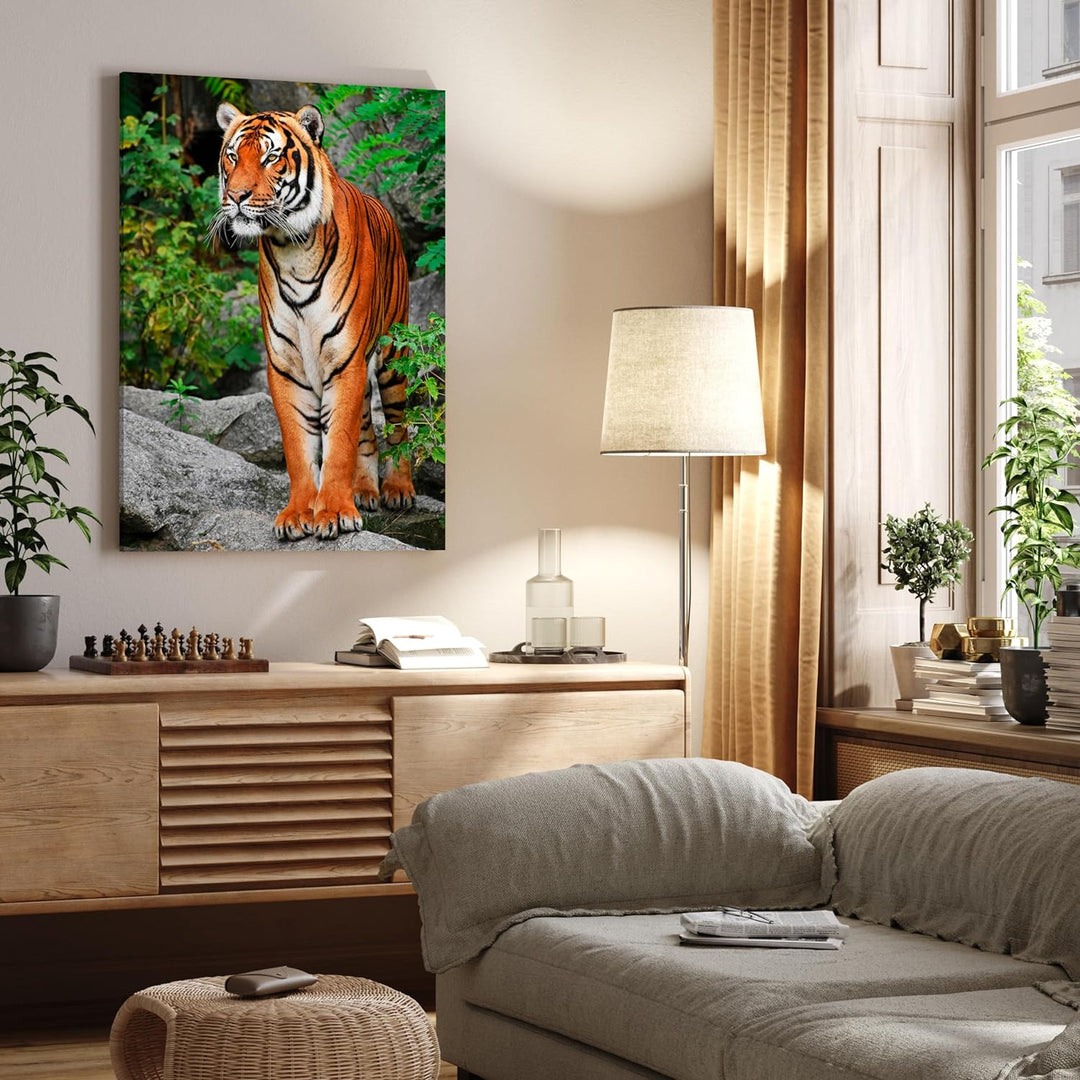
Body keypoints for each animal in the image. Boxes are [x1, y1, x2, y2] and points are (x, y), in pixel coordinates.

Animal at [213, 102, 414, 541]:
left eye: (270, 157)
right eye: (233, 156)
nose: (236, 197)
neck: (293, 249)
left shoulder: (345, 360)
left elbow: (336, 444)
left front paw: (335, 512)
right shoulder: (287, 367)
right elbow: (299, 446)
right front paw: (298, 514)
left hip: (392, 358)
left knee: (397, 423)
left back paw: (398, 489)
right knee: (366, 429)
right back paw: (365, 491)